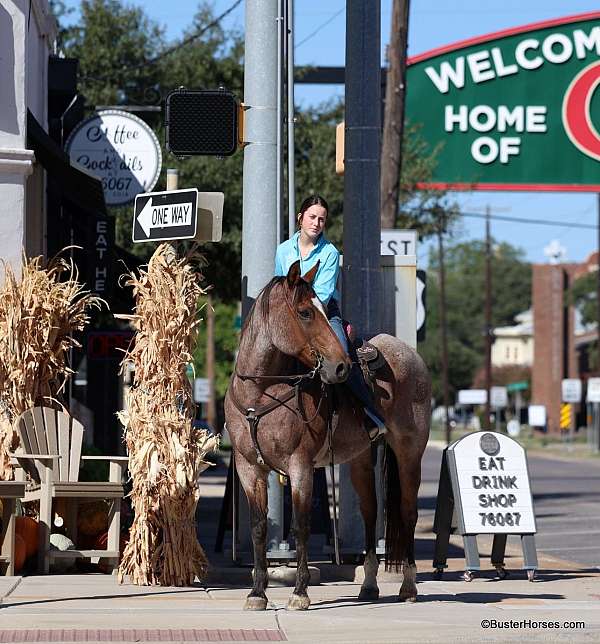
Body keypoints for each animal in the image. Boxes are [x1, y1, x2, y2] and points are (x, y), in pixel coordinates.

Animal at [223, 260, 428, 608]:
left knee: (407, 511)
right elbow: (259, 527)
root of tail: (411, 354)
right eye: (305, 312)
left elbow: (302, 526)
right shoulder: (249, 468)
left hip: (410, 450)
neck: (260, 395)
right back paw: (369, 584)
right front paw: (257, 593)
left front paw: (300, 593)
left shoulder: (300, 466)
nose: (342, 367)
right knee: (370, 512)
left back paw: (409, 587)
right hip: (360, 459)